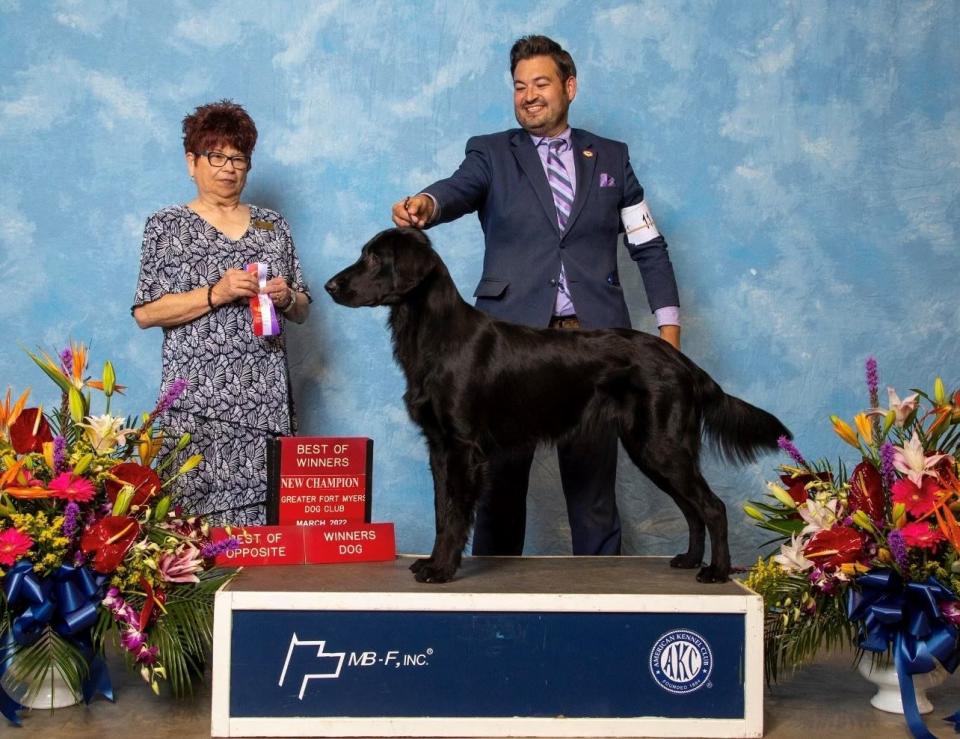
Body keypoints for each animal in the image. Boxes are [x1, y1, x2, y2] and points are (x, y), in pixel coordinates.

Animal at [326, 228, 792, 588]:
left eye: (373, 257)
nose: (330, 287)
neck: (434, 334)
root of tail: (683, 362)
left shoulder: (462, 448)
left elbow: (456, 514)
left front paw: (441, 570)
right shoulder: (439, 447)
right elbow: (443, 511)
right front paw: (433, 562)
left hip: (661, 446)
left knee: (712, 507)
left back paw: (715, 571)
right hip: (651, 450)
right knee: (693, 509)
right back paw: (690, 559)